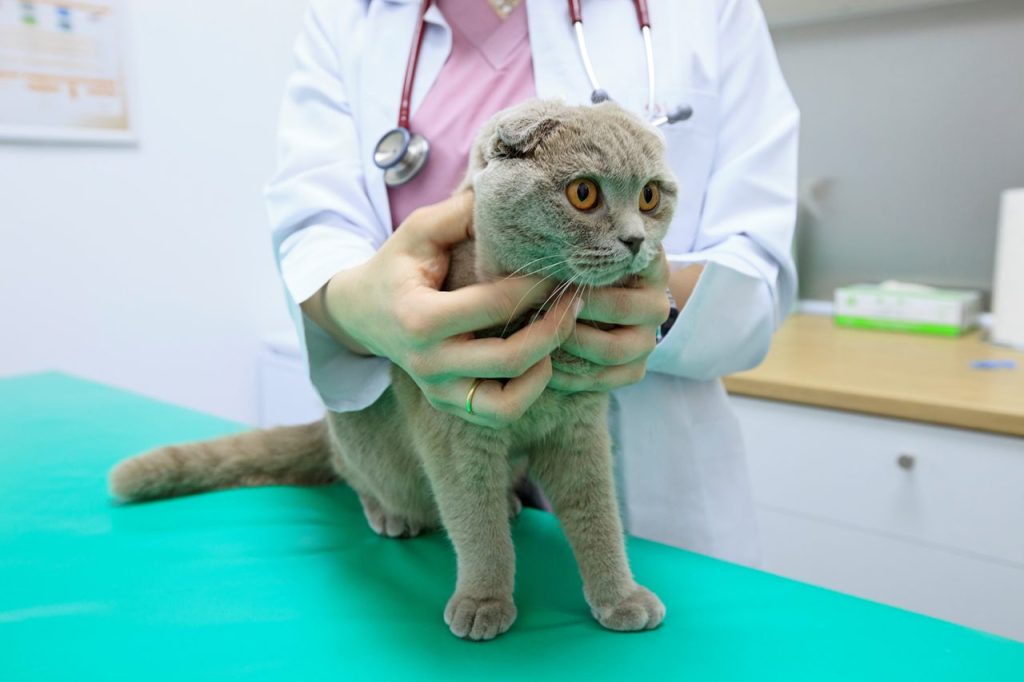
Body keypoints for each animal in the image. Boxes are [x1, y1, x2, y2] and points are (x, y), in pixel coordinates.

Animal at [110, 98, 679, 638]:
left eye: (650, 197)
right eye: (583, 193)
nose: (636, 240)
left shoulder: (580, 427)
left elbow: (597, 514)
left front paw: (620, 599)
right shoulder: (454, 432)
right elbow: (474, 521)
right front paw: (484, 601)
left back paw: (510, 505)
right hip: (357, 437)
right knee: (354, 474)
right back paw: (391, 514)